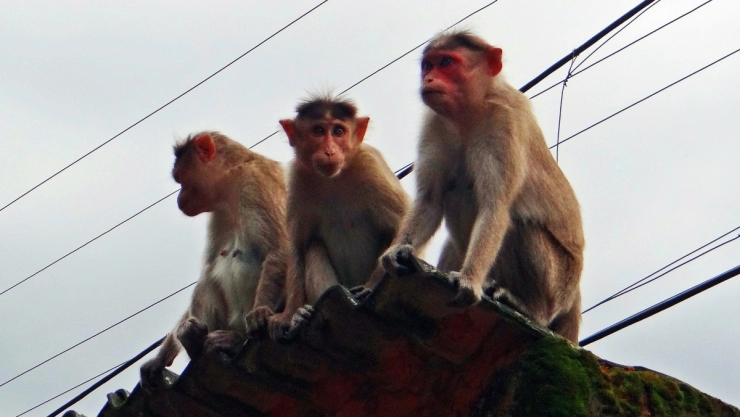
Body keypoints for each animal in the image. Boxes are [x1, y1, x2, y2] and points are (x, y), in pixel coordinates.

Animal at [140, 131, 288, 390]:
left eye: (181, 179)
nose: (179, 198)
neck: (231, 184)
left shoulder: (256, 182)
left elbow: (280, 248)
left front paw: (260, 314)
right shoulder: (218, 213)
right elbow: (209, 268)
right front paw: (159, 359)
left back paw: (234, 341)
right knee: (207, 280)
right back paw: (194, 341)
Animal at [264, 95, 409, 341]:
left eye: (338, 131)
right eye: (318, 130)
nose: (330, 151)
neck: (333, 179)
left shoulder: (371, 164)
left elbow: (403, 220)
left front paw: (372, 285)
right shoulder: (297, 179)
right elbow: (298, 247)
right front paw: (290, 315)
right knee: (313, 247)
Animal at [381, 30, 585, 343]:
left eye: (446, 63)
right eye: (428, 66)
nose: (428, 79)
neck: (470, 112)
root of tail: (574, 296)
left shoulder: (504, 124)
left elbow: (495, 206)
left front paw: (469, 280)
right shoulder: (435, 124)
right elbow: (430, 200)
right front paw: (395, 252)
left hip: (559, 283)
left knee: (518, 224)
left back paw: (530, 308)